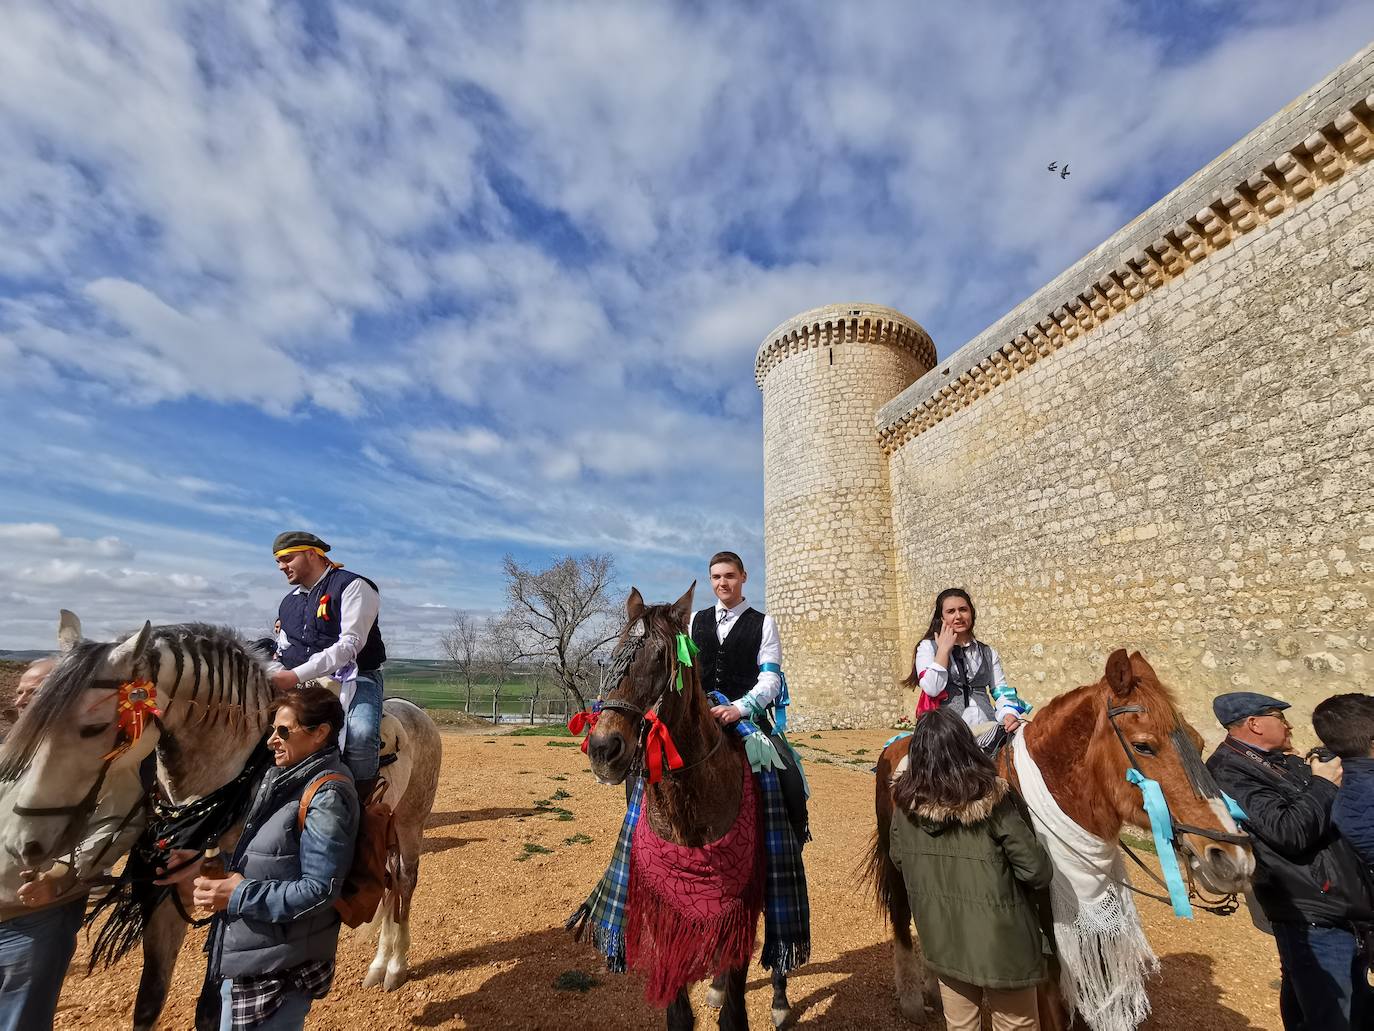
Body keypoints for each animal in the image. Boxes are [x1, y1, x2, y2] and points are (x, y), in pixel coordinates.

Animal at [0, 618, 436, 1028]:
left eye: (92, 728)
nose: (22, 844)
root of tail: (415, 712)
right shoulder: (166, 898)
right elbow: (149, 1001)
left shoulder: (232, 901)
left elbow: (210, 1010)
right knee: (389, 885)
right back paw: (379, 964)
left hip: (410, 824)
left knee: (403, 884)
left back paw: (394, 966)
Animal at [579, 588, 785, 1031]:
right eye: (614, 653)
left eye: (662, 657)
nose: (603, 748)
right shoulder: (666, 908)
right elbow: (678, 1008)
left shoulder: (743, 900)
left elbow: (735, 1010)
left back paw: (779, 1000)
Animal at [868, 648, 1258, 1028]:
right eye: (1144, 746)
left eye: (1200, 743)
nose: (1233, 857)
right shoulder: (1045, 957)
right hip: (897, 865)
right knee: (902, 917)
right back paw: (914, 1000)